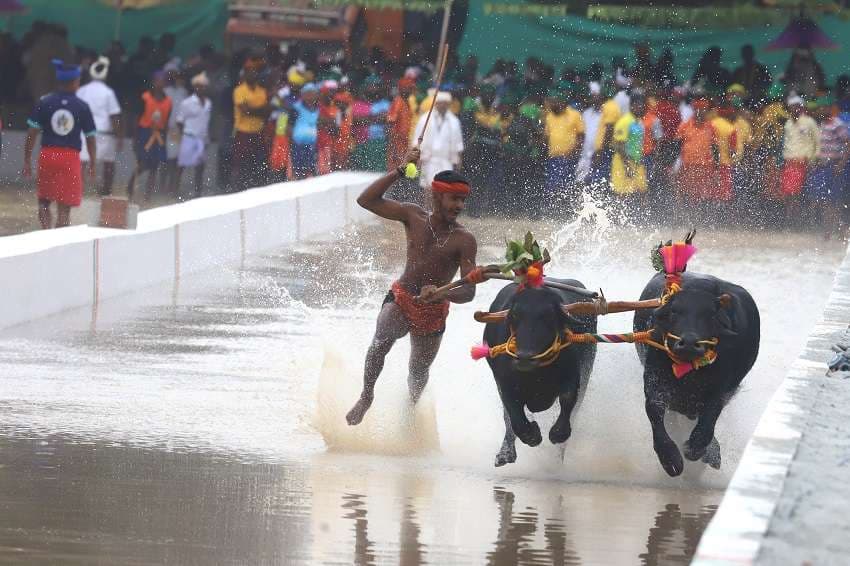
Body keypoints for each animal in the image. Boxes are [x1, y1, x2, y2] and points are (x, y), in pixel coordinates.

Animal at [474, 280, 592, 470]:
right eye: (515, 315)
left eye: (549, 316)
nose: (524, 357)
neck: (536, 373)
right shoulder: (504, 385)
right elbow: (514, 417)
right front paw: (532, 436)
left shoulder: (574, 376)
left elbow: (567, 400)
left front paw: (558, 433)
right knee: (508, 419)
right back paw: (505, 454)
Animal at [632, 272, 760, 478]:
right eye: (674, 311)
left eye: (711, 314)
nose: (690, 343)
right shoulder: (655, 379)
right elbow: (653, 409)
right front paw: (670, 458)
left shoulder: (721, 388)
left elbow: (710, 416)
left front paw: (696, 448)